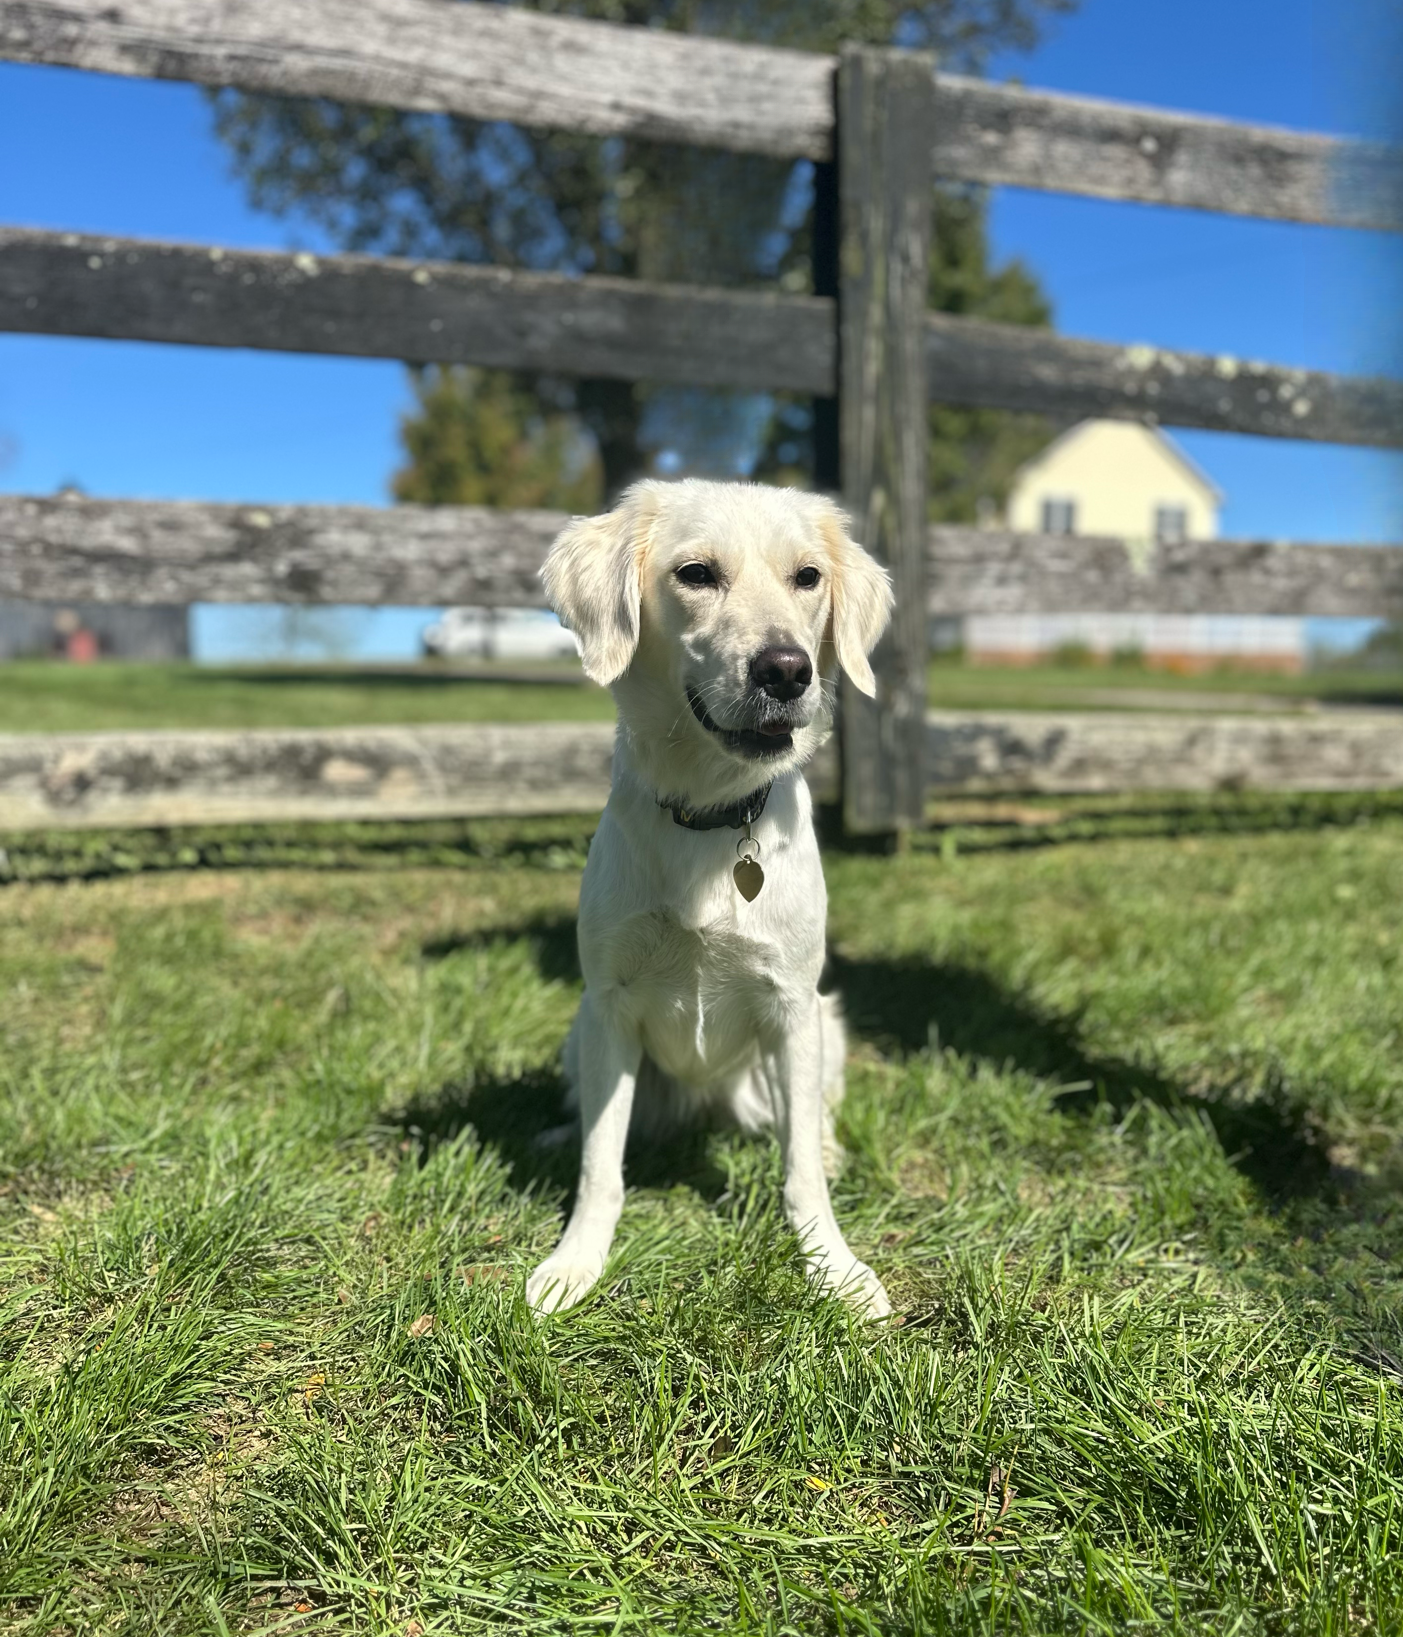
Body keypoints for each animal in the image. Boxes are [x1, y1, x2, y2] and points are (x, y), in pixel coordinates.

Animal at [530, 478, 890, 1322]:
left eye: (807, 577)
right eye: (696, 574)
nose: (787, 669)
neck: (710, 812)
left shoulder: (792, 1005)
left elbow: (800, 1171)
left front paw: (832, 1267)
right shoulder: (610, 1003)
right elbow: (602, 1163)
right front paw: (575, 1261)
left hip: (822, 1028)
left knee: (810, 1122)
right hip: (579, 1031)